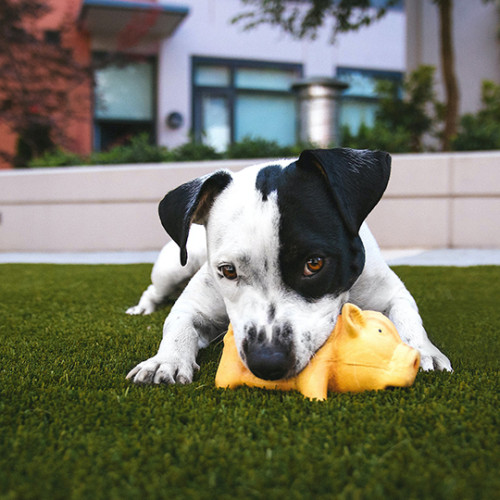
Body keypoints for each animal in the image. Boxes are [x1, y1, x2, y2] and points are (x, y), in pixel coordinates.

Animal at [126, 146, 454, 384]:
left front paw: (422, 350)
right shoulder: (194, 304)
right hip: (174, 266)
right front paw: (165, 360)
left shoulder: (391, 292)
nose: (267, 362)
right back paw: (143, 308)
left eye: (314, 263)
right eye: (228, 271)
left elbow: (407, 316)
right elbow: (178, 324)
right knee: (153, 290)